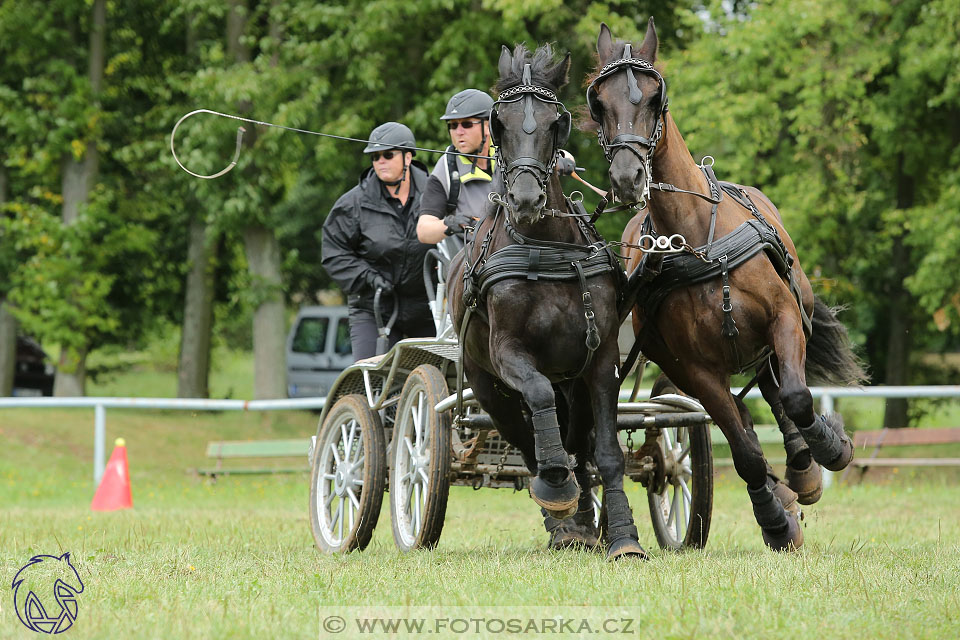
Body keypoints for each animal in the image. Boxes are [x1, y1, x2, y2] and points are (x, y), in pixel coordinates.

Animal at [448, 43, 644, 560]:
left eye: (556, 122)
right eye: (500, 123)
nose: (523, 199)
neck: (546, 246)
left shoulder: (600, 359)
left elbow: (606, 453)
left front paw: (622, 535)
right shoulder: (509, 354)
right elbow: (537, 404)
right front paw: (558, 492)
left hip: (570, 382)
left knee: (576, 440)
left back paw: (583, 522)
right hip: (487, 386)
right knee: (528, 441)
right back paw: (562, 516)